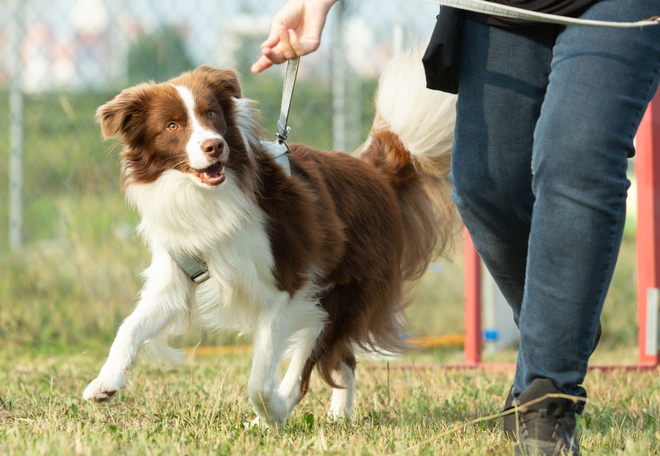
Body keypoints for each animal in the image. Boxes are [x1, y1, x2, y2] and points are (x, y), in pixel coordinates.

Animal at [84, 48, 458, 430]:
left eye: (212, 114)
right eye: (172, 125)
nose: (214, 145)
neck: (209, 196)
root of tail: (376, 171)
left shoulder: (285, 287)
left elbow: (260, 379)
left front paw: (273, 411)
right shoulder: (177, 275)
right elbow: (131, 326)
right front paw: (105, 382)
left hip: (340, 293)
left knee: (313, 361)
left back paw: (282, 410)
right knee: (343, 359)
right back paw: (339, 415)